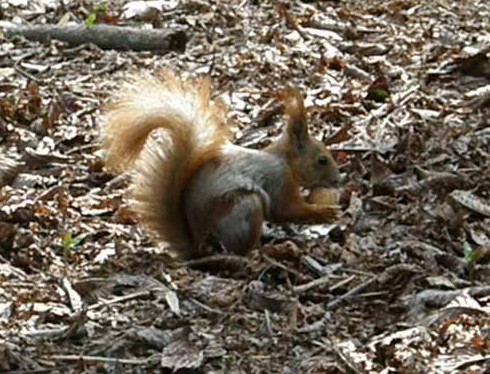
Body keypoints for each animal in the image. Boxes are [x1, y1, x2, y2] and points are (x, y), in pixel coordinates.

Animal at [100, 71, 340, 260]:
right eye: (322, 160)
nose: (338, 180)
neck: (286, 162)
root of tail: (198, 246)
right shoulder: (279, 181)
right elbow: (286, 211)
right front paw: (325, 212)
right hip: (242, 207)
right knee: (238, 249)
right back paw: (256, 253)